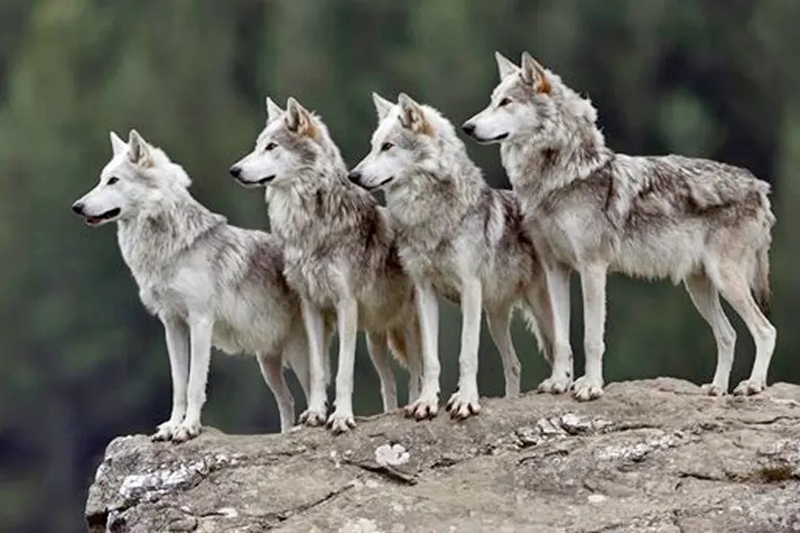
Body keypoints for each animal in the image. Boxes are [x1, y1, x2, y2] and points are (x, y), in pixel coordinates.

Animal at [72, 130, 316, 442]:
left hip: (298, 355)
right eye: (101, 179)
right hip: (268, 363)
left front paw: (188, 428)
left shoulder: (200, 322)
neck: (170, 248)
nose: (77, 207)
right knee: (288, 401)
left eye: (113, 180)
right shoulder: (172, 325)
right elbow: (178, 385)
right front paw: (171, 426)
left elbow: (195, 385)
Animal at [229, 97, 424, 433]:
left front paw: (342, 417)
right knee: (388, 382)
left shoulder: (346, 304)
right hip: (375, 340)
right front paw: (316, 413)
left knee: (416, 373)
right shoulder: (311, 305)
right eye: (257, 146)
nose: (234, 170)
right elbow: (319, 370)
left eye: (271, 146)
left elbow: (344, 372)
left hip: (407, 327)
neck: (310, 227)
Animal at [349, 92, 561, 419]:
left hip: (538, 307)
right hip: (495, 317)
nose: (353, 175)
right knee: (514, 364)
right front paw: (426, 403)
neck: (429, 218)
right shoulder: (424, 292)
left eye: (388, 146)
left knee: (561, 348)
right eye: (373, 146)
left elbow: (467, 354)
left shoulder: (469, 289)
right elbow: (431, 359)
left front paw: (465, 400)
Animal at [463, 52, 777, 400]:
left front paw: (590, 386)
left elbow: (591, 338)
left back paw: (752, 385)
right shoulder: (555, 269)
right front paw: (559, 382)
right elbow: (561, 339)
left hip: (726, 280)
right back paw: (717, 388)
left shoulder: (592, 267)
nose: (467, 127)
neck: (561, 178)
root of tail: (759, 186)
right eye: (492, 101)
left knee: (766, 330)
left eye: (506, 102)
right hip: (699, 286)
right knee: (728, 335)